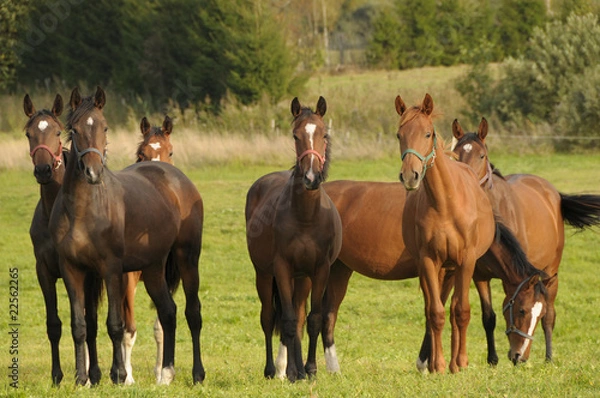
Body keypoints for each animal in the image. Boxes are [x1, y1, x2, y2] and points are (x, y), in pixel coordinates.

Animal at [47, 87, 206, 386]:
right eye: (73, 129)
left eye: (104, 127)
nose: (93, 172)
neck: (84, 211)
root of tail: (176, 178)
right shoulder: (73, 270)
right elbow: (79, 325)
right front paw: (81, 378)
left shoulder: (111, 270)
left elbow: (116, 325)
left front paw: (120, 375)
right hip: (154, 268)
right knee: (168, 312)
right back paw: (166, 373)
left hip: (187, 259)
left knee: (192, 313)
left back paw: (197, 373)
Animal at [246, 96, 342, 382]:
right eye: (295, 135)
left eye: (324, 134)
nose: (311, 178)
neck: (306, 217)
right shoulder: (281, 269)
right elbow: (286, 320)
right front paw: (293, 372)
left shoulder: (320, 270)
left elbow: (312, 319)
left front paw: (309, 369)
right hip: (264, 274)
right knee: (269, 318)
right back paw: (273, 369)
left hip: (303, 279)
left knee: (299, 316)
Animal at [452, 117, 600, 364]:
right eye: (455, 155)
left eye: (482, 155)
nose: (464, 182)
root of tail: (554, 193)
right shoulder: (480, 276)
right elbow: (488, 316)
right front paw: (492, 360)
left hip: (551, 272)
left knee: (550, 315)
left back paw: (548, 357)